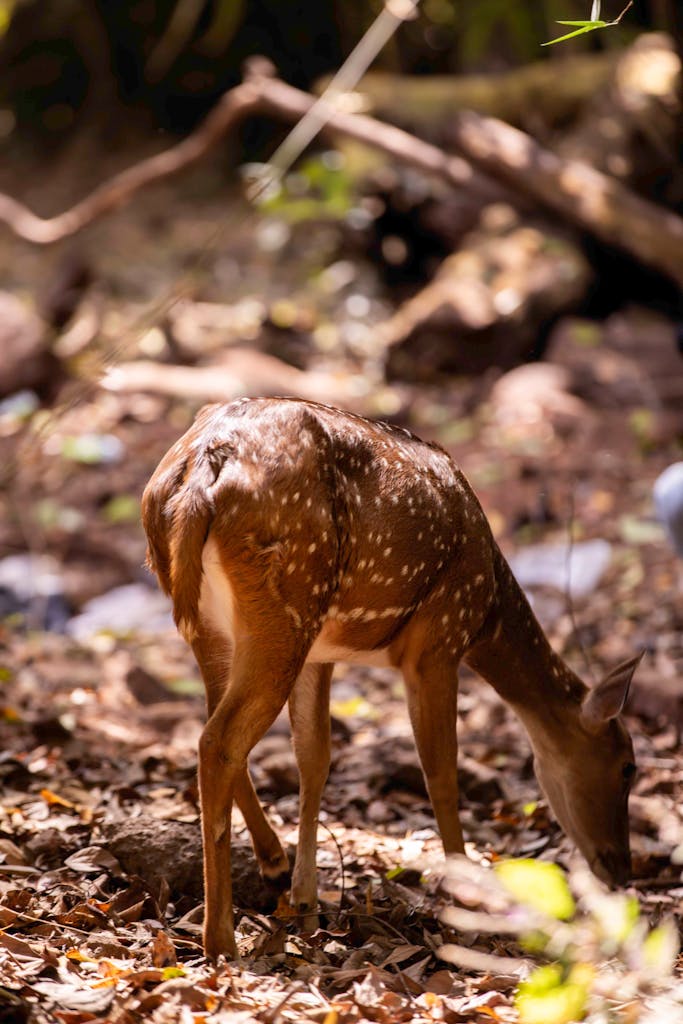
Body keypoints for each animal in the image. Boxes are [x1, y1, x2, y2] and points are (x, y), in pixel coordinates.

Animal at [142, 396, 641, 960]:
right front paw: (469, 895)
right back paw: (220, 939)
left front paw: (307, 904)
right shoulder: (439, 641)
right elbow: (440, 769)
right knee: (219, 741)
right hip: (285, 608)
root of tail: (201, 476)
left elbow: (314, 758)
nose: (622, 870)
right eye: (628, 767)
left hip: (218, 625)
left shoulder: (323, 654)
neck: (487, 609)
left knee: (214, 731)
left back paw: (270, 867)